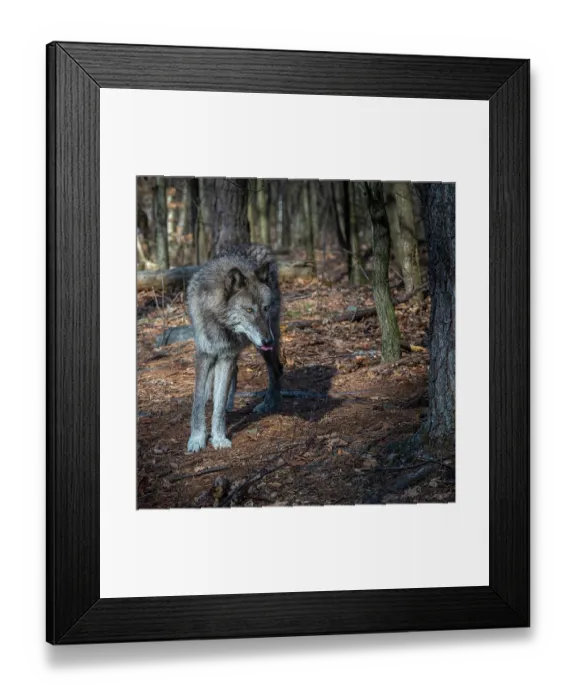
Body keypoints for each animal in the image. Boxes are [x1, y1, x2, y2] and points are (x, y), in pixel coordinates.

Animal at [186, 243, 283, 453]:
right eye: (249, 310)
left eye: (265, 308)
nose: (268, 340)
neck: (220, 324)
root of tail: (256, 245)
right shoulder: (205, 354)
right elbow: (198, 401)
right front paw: (197, 439)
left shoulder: (226, 357)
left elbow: (219, 404)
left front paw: (218, 438)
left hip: (263, 349)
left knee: (277, 369)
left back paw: (269, 404)